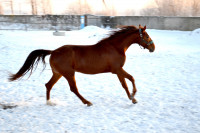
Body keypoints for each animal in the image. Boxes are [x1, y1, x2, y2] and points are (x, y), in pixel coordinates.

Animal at [9, 24, 155, 106]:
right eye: (147, 36)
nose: (153, 47)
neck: (115, 47)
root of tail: (53, 51)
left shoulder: (117, 71)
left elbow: (127, 82)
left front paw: (132, 97)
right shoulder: (117, 69)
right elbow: (129, 80)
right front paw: (133, 97)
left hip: (58, 73)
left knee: (48, 85)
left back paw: (49, 102)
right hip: (69, 73)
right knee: (73, 89)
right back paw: (88, 102)